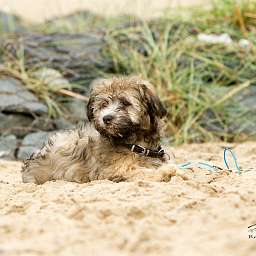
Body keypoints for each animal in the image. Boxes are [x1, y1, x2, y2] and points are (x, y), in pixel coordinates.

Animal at [21, 76, 177, 184]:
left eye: (125, 103)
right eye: (103, 105)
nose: (106, 118)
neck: (136, 145)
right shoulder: (114, 170)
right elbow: (141, 173)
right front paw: (165, 172)